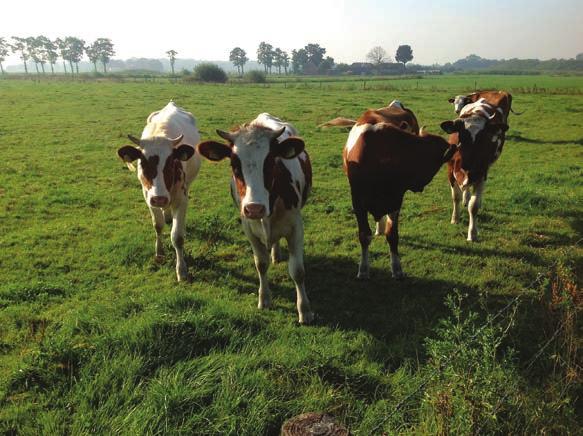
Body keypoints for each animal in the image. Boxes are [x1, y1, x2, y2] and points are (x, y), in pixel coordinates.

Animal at [116, 101, 203, 282]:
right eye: (143, 162)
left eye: (170, 162)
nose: (160, 199)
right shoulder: (148, 197)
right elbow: (158, 225)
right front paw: (159, 252)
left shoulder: (181, 200)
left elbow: (177, 237)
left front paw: (181, 270)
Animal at [197, 112, 318, 324]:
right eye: (234, 165)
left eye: (270, 162)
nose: (254, 209)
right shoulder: (249, 228)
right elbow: (261, 264)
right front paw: (265, 298)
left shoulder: (296, 227)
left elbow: (297, 271)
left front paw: (305, 310)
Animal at [442, 98, 512, 242]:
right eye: (462, 135)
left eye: (483, 137)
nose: (468, 165)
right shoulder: (450, 171)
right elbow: (455, 197)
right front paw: (455, 218)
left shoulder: (481, 174)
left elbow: (474, 206)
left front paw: (472, 234)